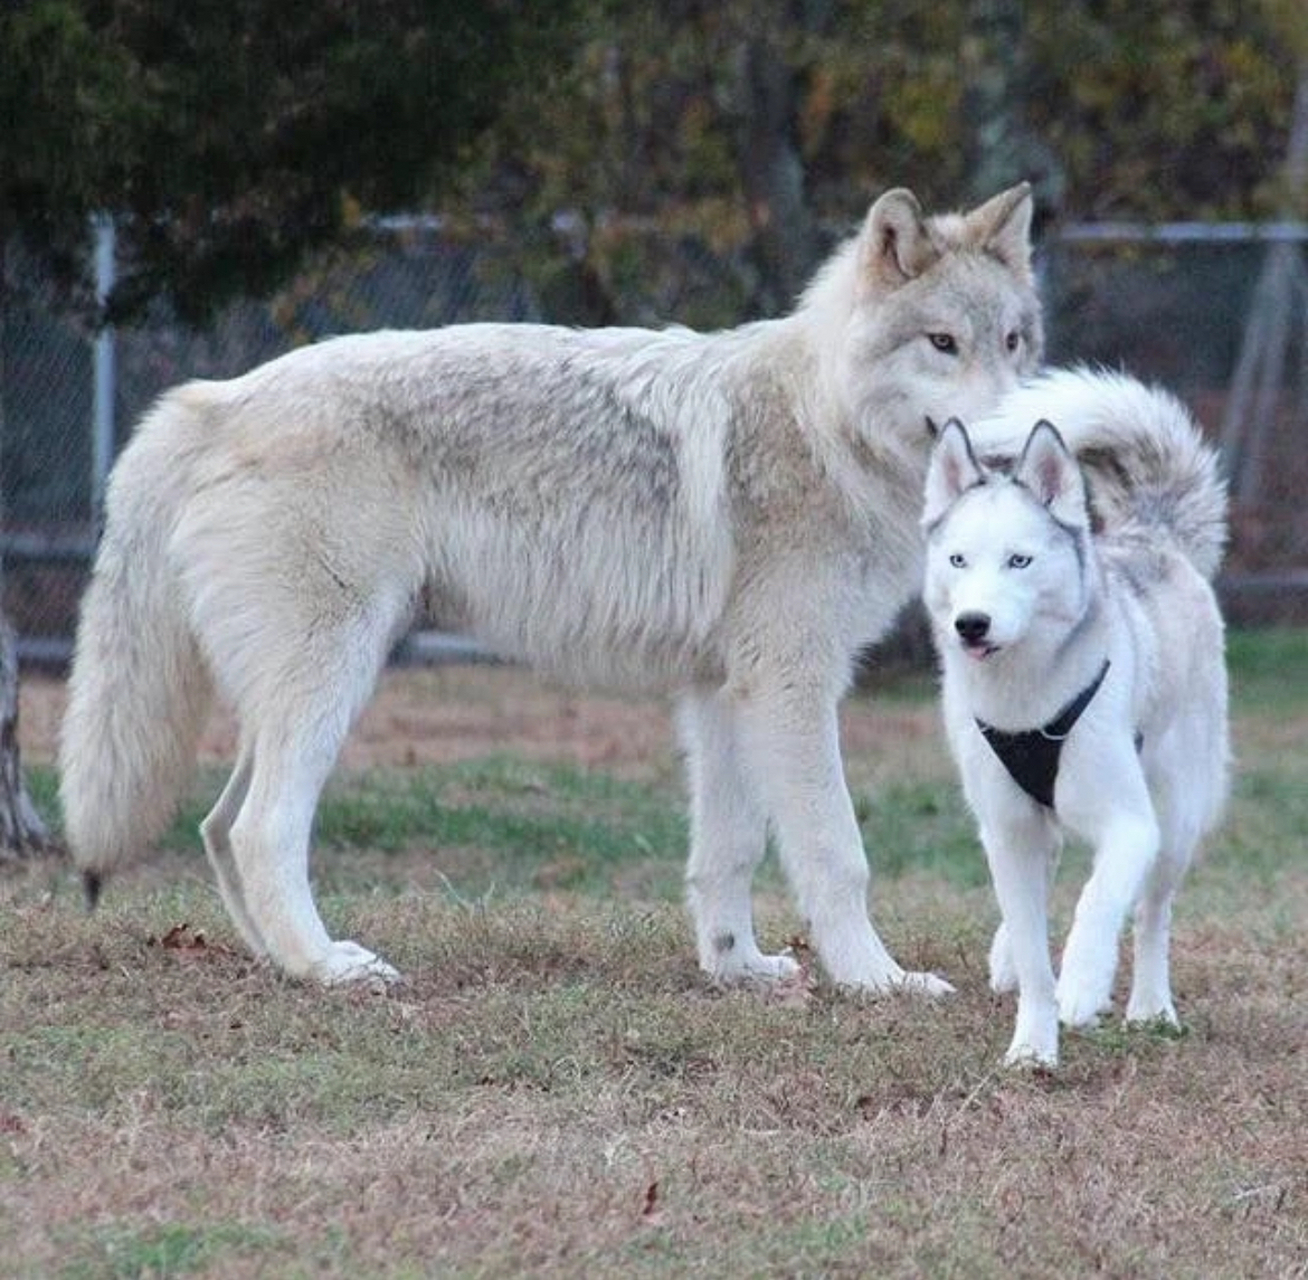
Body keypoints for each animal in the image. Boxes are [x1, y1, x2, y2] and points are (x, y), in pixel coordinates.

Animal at [58, 183, 1041, 988]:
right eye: (943, 343)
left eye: (1012, 343)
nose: (1005, 445)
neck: (826, 426)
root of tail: (212, 399)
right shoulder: (792, 684)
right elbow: (839, 852)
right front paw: (878, 980)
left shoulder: (724, 692)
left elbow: (727, 853)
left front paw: (739, 969)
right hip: (334, 675)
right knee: (261, 829)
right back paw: (331, 969)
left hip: (299, 688)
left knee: (217, 827)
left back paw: (286, 964)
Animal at [920, 371, 1224, 1072]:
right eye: (957, 561)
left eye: (1019, 561)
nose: (971, 624)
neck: (1025, 702)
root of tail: (1153, 537)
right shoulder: (1006, 833)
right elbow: (1035, 953)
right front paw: (1034, 1045)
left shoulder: (1130, 824)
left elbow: (1099, 899)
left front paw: (1084, 983)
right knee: (1051, 868)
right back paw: (1008, 952)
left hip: (1176, 819)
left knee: (1152, 914)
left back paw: (1150, 1006)